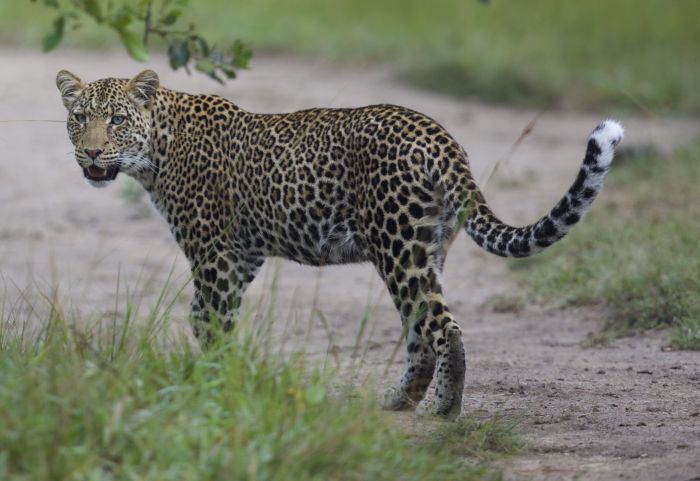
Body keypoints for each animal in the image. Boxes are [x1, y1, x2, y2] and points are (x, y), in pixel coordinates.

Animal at [54, 69, 624, 418]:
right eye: (80, 119)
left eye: (117, 119)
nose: (92, 153)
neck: (158, 149)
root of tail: (440, 136)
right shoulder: (242, 256)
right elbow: (206, 319)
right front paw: (224, 376)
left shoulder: (215, 254)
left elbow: (210, 320)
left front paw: (212, 384)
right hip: (427, 249)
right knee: (419, 330)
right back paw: (399, 400)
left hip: (398, 247)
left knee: (444, 327)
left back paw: (442, 408)